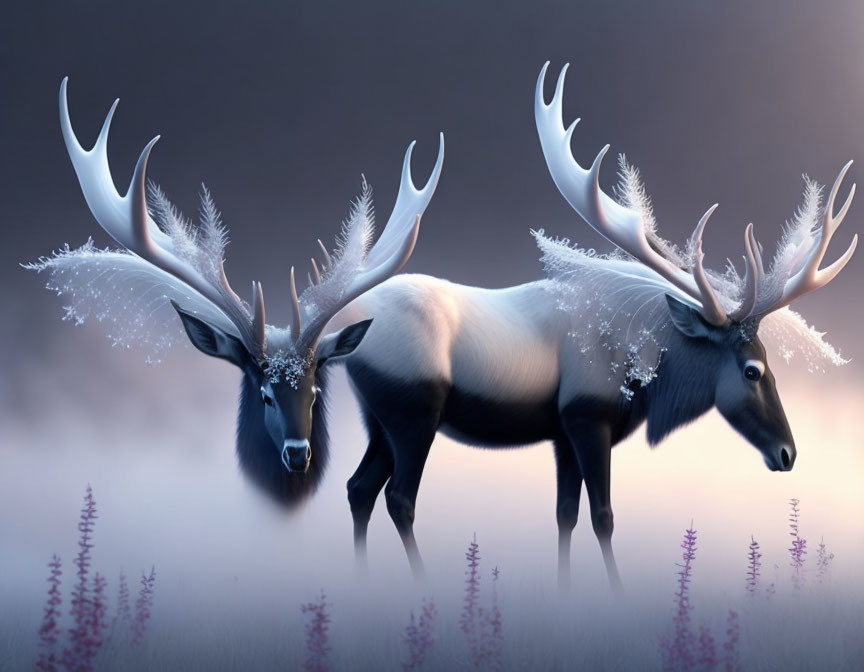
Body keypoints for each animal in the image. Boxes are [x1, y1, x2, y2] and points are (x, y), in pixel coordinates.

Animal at [326, 63, 856, 588]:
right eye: (752, 370)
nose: (787, 454)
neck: (643, 373)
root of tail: (346, 329)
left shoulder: (563, 433)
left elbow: (565, 513)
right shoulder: (587, 418)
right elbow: (603, 515)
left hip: (379, 418)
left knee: (357, 487)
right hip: (414, 413)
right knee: (399, 498)